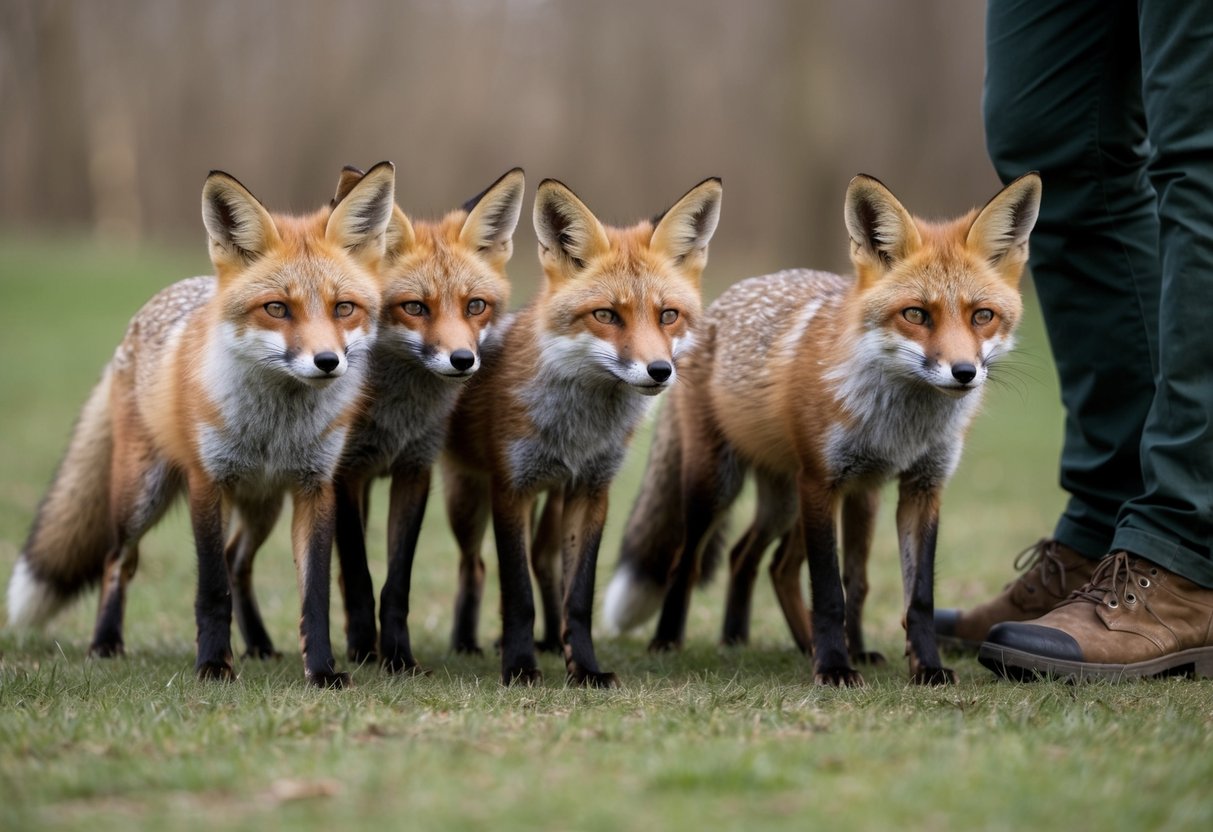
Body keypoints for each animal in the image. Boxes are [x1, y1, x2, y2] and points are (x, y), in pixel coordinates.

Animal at [5, 163, 397, 687]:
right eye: (277, 308)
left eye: (344, 308)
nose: (327, 362)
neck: (274, 428)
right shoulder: (208, 480)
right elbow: (212, 588)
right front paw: (213, 664)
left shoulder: (316, 487)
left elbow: (313, 596)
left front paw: (322, 670)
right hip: (141, 496)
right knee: (119, 560)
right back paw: (105, 643)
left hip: (263, 504)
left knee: (238, 562)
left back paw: (259, 644)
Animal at [224, 166, 525, 674]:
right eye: (415, 307)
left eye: (475, 306)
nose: (463, 360)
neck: (393, 413)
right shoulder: (344, 474)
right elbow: (359, 575)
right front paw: (365, 648)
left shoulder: (413, 470)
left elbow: (396, 581)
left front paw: (398, 656)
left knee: (476, 563)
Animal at [441, 176, 722, 686]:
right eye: (606, 315)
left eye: (668, 315)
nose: (660, 371)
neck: (577, 430)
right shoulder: (511, 488)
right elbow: (516, 593)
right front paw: (519, 667)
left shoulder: (591, 489)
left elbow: (579, 595)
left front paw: (584, 668)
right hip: (466, 499)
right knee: (475, 566)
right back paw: (467, 643)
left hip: (552, 499)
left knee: (544, 559)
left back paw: (552, 642)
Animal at [603, 172, 1042, 685]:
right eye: (916, 314)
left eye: (982, 316)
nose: (964, 373)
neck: (900, 428)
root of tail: (695, 317)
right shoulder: (820, 481)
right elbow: (830, 590)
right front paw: (833, 667)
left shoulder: (921, 487)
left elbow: (911, 596)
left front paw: (926, 667)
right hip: (720, 485)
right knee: (690, 560)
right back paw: (670, 641)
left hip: (814, 500)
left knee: (758, 560)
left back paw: (756, 638)